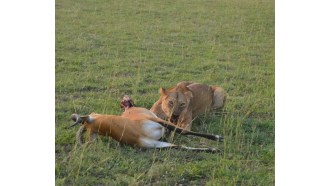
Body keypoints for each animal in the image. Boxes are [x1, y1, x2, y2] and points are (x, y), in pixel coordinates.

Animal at [69, 96, 224, 153]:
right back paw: (216, 143)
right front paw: (217, 137)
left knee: (180, 146)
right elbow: (182, 131)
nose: (125, 98)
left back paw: (213, 149)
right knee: (181, 138)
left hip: (158, 144)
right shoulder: (158, 121)